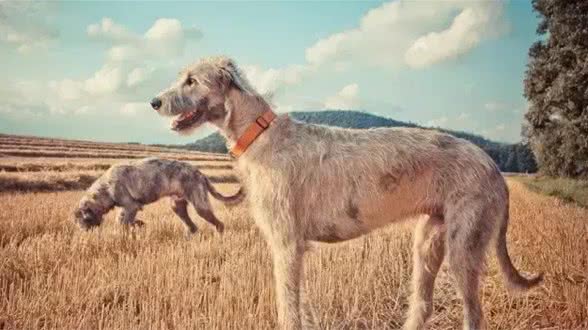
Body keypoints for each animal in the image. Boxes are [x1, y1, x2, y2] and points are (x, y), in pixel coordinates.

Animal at [73, 158, 243, 233]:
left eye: (84, 219)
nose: (83, 233)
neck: (106, 187)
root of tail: (201, 174)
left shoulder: (131, 206)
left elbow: (124, 223)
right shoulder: (125, 208)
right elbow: (123, 220)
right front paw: (138, 225)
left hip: (201, 206)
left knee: (219, 224)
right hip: (177, 206)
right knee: (193, 227)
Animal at [150, 57, 544, 330]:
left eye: (191, 80)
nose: (153, 102)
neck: (259, 135)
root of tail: (494, 168)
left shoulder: (287, 242)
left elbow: (287, 306)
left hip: (465, 243)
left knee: (474, 312)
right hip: (429, 239)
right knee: (423, 303)